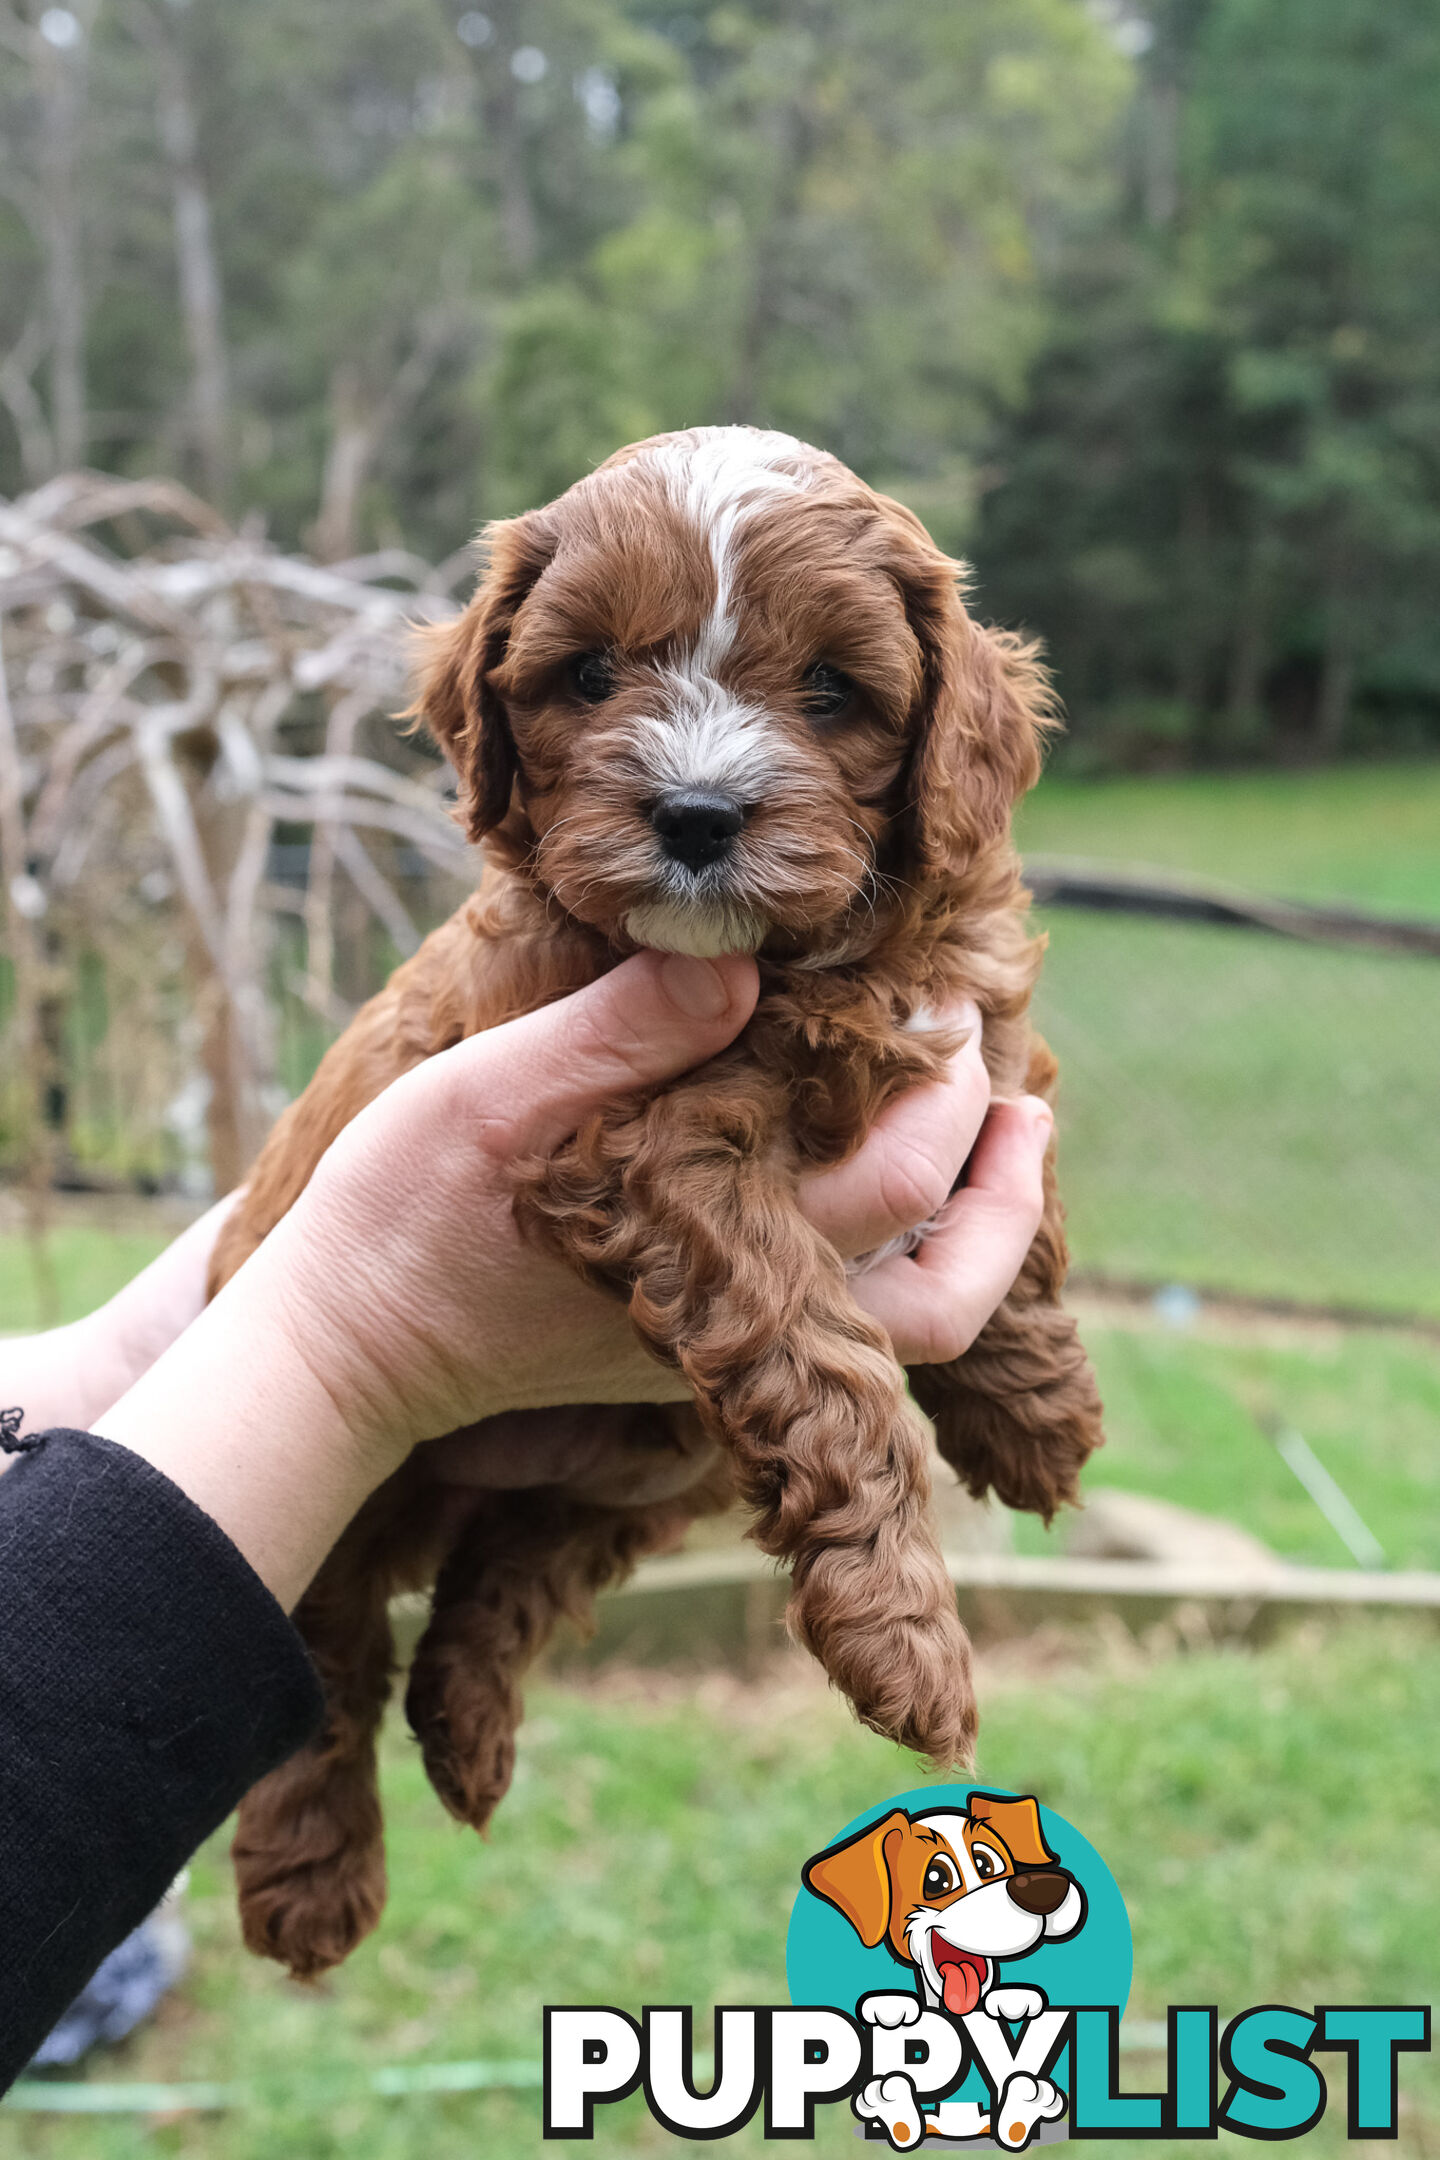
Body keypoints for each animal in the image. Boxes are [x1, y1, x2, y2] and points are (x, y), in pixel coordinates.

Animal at [208, 421, 1105, 1978]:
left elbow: (1020, 1183)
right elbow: (828, 1362)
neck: (810, 958)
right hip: (365, 1478)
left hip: (654, 1467)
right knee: (327, 1643)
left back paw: (467, 1731)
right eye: (587, 675)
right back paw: (313, 1879)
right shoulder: (646, 1144)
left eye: (832, 689)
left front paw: (1037, 1410)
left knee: (508, 1568)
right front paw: (909, 1641)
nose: (696, 816)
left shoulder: (980, 1017)